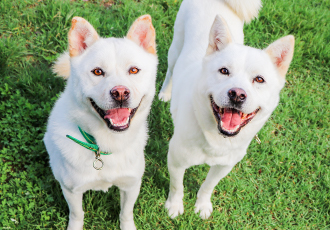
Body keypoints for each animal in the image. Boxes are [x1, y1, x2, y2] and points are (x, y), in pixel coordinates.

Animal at [44, 15, 159, 229]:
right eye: (97, 72)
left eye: (134, 70)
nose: (120, 93)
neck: (107, 143)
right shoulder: (72, 191)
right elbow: (77, 214)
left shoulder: (131, 185)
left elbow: (126, 213)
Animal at [159, 0, 294, 219]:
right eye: (224, 71)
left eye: (259, 79)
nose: (237, 94)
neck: (217, 136)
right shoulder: (176, 160)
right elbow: (177, 186)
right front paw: (174, 206)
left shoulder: (224, 166)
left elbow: (208, 186)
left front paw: (202, 205)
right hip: (175, 47)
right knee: (170, 71)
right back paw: (164, 93)